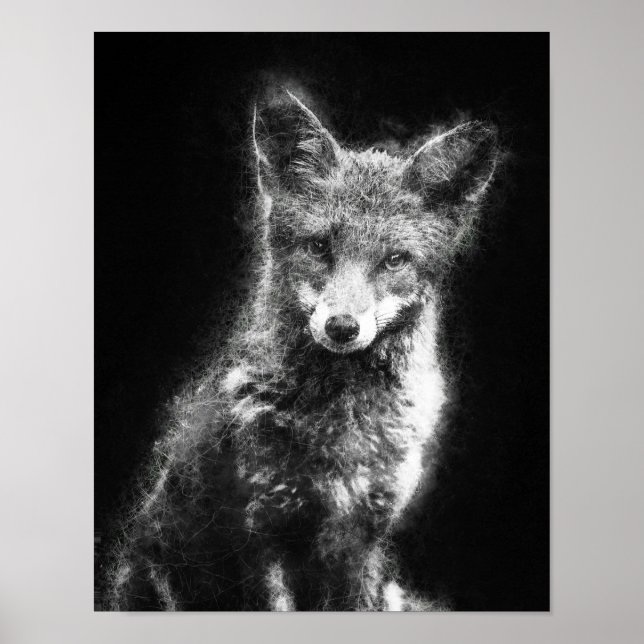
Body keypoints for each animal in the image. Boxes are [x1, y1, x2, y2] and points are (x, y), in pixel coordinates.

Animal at [104, 88, 500, 611]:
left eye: (394, 260)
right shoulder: (260, 531)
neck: (341, 432)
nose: (342, 327)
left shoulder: (363, 537)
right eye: (318, 247)